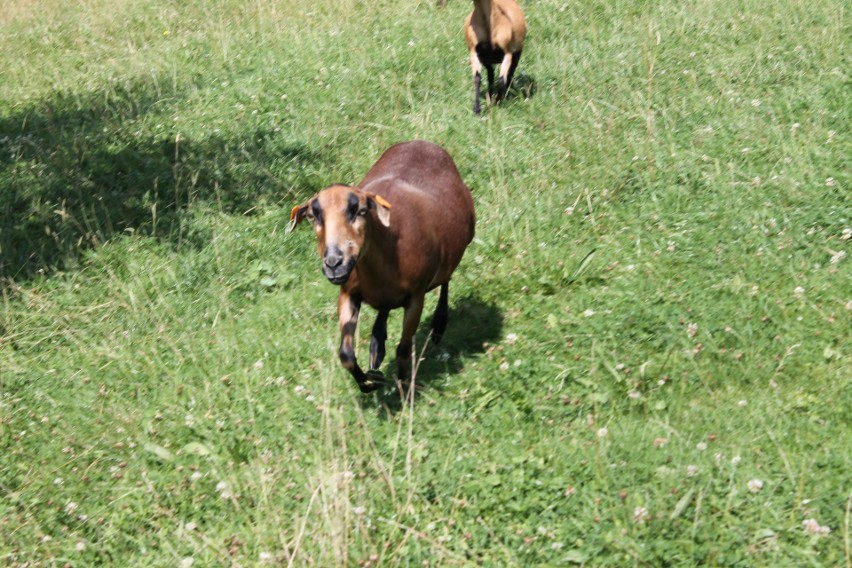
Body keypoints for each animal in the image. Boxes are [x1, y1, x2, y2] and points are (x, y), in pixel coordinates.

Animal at [290, 140, 476, 392]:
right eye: (312, 216)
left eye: (361, 211)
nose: (334, 264)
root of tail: (421, 142)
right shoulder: (348, 293)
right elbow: (345, 355)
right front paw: (369, 383)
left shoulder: (416, 296)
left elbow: (404, 350)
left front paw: (404, 388)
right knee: (384, 310)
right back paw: (377, 348)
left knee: (445, 280)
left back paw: (437, 327)